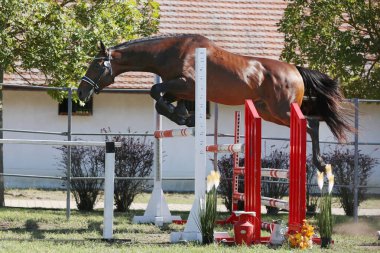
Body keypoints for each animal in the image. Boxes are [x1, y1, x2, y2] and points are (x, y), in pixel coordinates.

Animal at [77, 33, 354, 174]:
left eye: (96, 65)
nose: (81, 92)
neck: (170, 52)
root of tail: (295, 70)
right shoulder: (181, 89)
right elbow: (160, 101)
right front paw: (185, 117)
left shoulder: (186, 83)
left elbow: (155, 92)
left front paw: (185, 117)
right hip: (268, 112)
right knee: (312, 124)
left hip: (283, 110)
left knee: (308, 126)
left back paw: (319, 163)